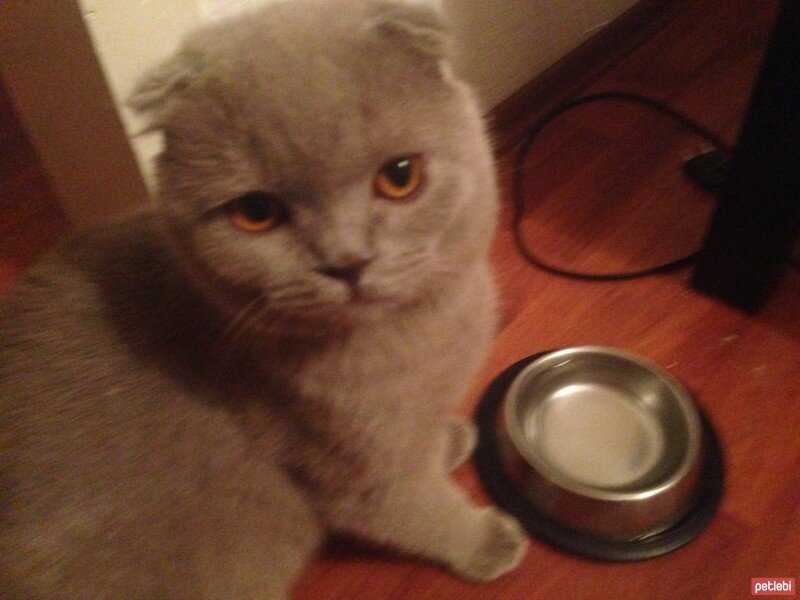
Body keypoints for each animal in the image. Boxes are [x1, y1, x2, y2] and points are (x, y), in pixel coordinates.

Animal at [1, 2, 532, 596]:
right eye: (256, 212)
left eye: (401, 177)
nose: (346, 261)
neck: (423, 333)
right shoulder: (352, 466)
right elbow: (416, 510)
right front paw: (485, 539)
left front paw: (449, 439)